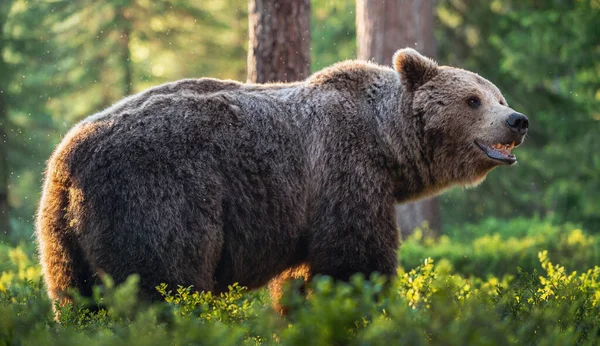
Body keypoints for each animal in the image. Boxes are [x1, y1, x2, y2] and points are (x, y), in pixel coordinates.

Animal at [35, 47, 528, 310]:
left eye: (499, 96)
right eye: (472, 100)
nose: (518, 120)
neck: (386, 143)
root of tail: (67, 162)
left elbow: (302, 278)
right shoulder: (342, 172)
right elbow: (355, 261)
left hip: (61, 238)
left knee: (76, 298)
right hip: (155, 196)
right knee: (160, 283)